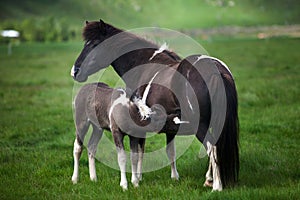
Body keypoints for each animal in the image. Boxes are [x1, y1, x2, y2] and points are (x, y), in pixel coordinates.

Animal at [70, 19, 239, 191]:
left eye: (95, 44)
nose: (75, 71)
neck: (144, 64)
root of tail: (216, 71)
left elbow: (139, 151)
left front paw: (137, 178)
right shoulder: (168, 126)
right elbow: (169, 151)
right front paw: (173, 177)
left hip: (201, 126)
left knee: (212, 148)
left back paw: (216, 185)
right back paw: (210, 180)